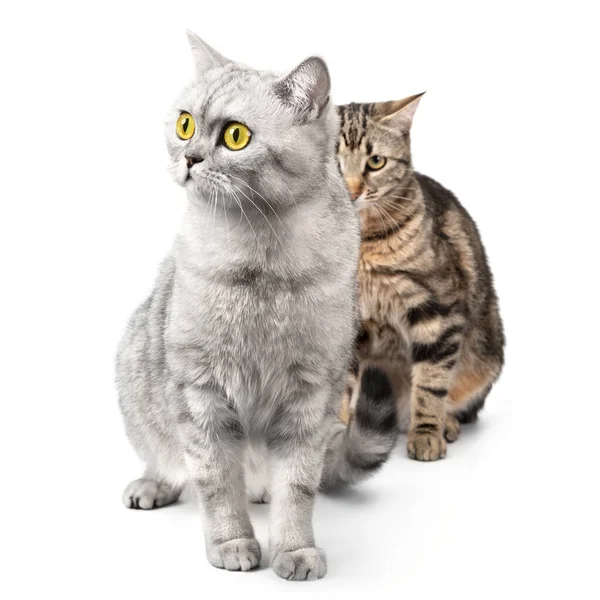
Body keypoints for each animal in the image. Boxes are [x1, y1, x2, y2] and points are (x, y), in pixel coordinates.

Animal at [116, 32, 398, 580]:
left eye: (235, 137)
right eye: (185, 124)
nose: (190, 158)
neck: (260, 259)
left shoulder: (310, 396)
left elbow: (298, 488)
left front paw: (294, 550)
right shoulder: (200, 391)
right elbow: (215, 481)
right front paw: (231, 543)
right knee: (169, 461)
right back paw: (154, 484)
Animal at [338, 95, 502, 460]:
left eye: (376, 161)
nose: (352, 192)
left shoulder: (438, 310)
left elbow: (431, 381)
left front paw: (426, 432)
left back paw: (443, 424)